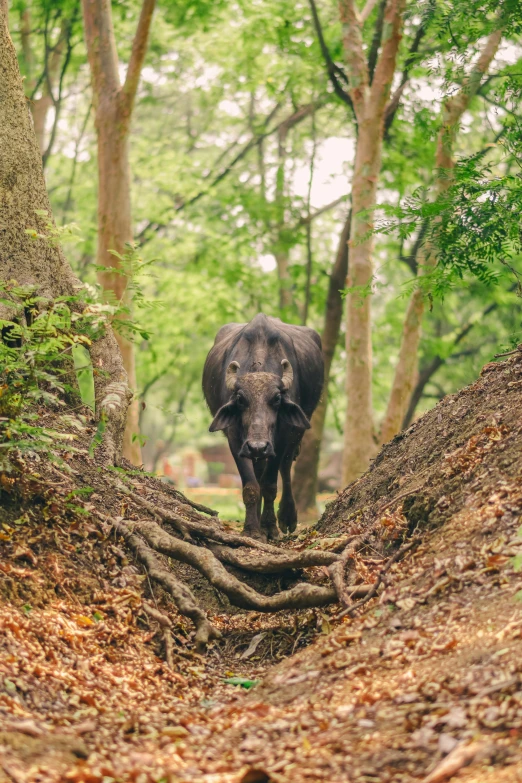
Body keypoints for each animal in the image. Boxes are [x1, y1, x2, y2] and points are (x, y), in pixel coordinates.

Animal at [202, 312, 320, 540]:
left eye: (276, 398)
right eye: (240, 399)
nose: (258, 446)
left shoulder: (282, 436)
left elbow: (270, 484)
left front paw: (269, 527)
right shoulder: (236, 439)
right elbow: (251, 486)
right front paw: (251, 528)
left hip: (297, 431)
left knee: (285, 467)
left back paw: (286, 517)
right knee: (258, 471)